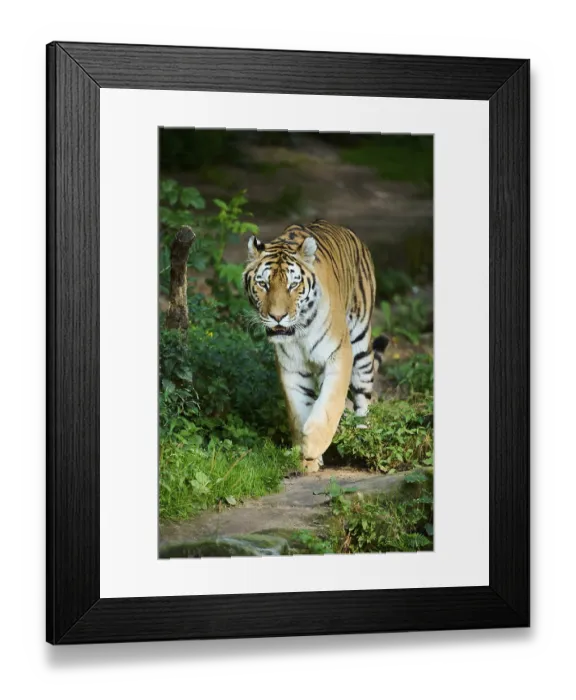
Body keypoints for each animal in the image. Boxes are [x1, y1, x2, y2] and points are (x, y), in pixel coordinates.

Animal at [243, 219, 389, 473]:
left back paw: (362, 437)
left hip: (361, 343)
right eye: (263, 284)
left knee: (363, 398)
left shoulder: (339, 355)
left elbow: (329, 405)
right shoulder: (291, 367)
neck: (299, 331)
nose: (277, 317)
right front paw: (306, 458)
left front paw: (313, 445)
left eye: (293, 285)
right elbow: (299, 410)